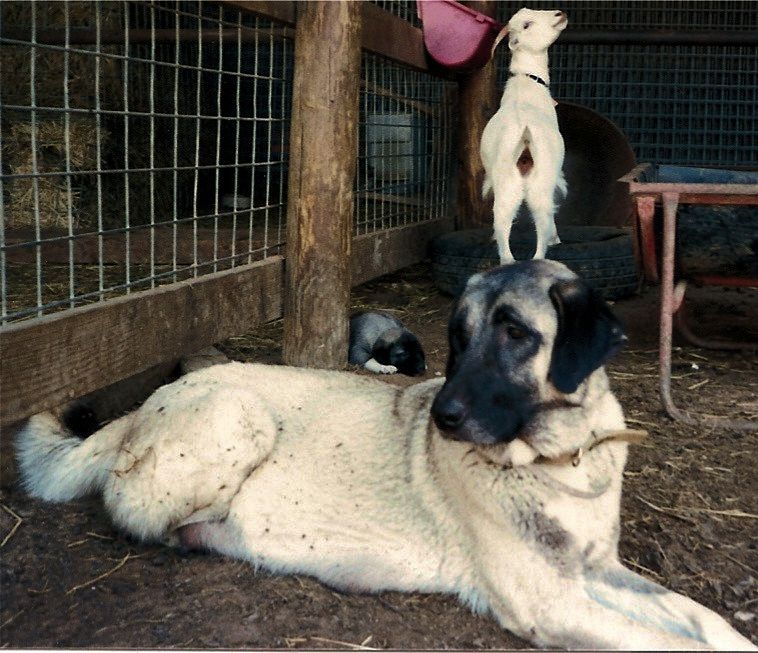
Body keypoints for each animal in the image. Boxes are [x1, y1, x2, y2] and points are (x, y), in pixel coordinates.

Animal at [14, 258, 756, 648]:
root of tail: (147, 401)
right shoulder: (552, 600)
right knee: (133, 511)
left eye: (515, 333)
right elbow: (669, 641)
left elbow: (703, 618)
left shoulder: (597, 571)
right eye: (458, 335)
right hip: (241, 416)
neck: (560, 460)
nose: (442, 415)